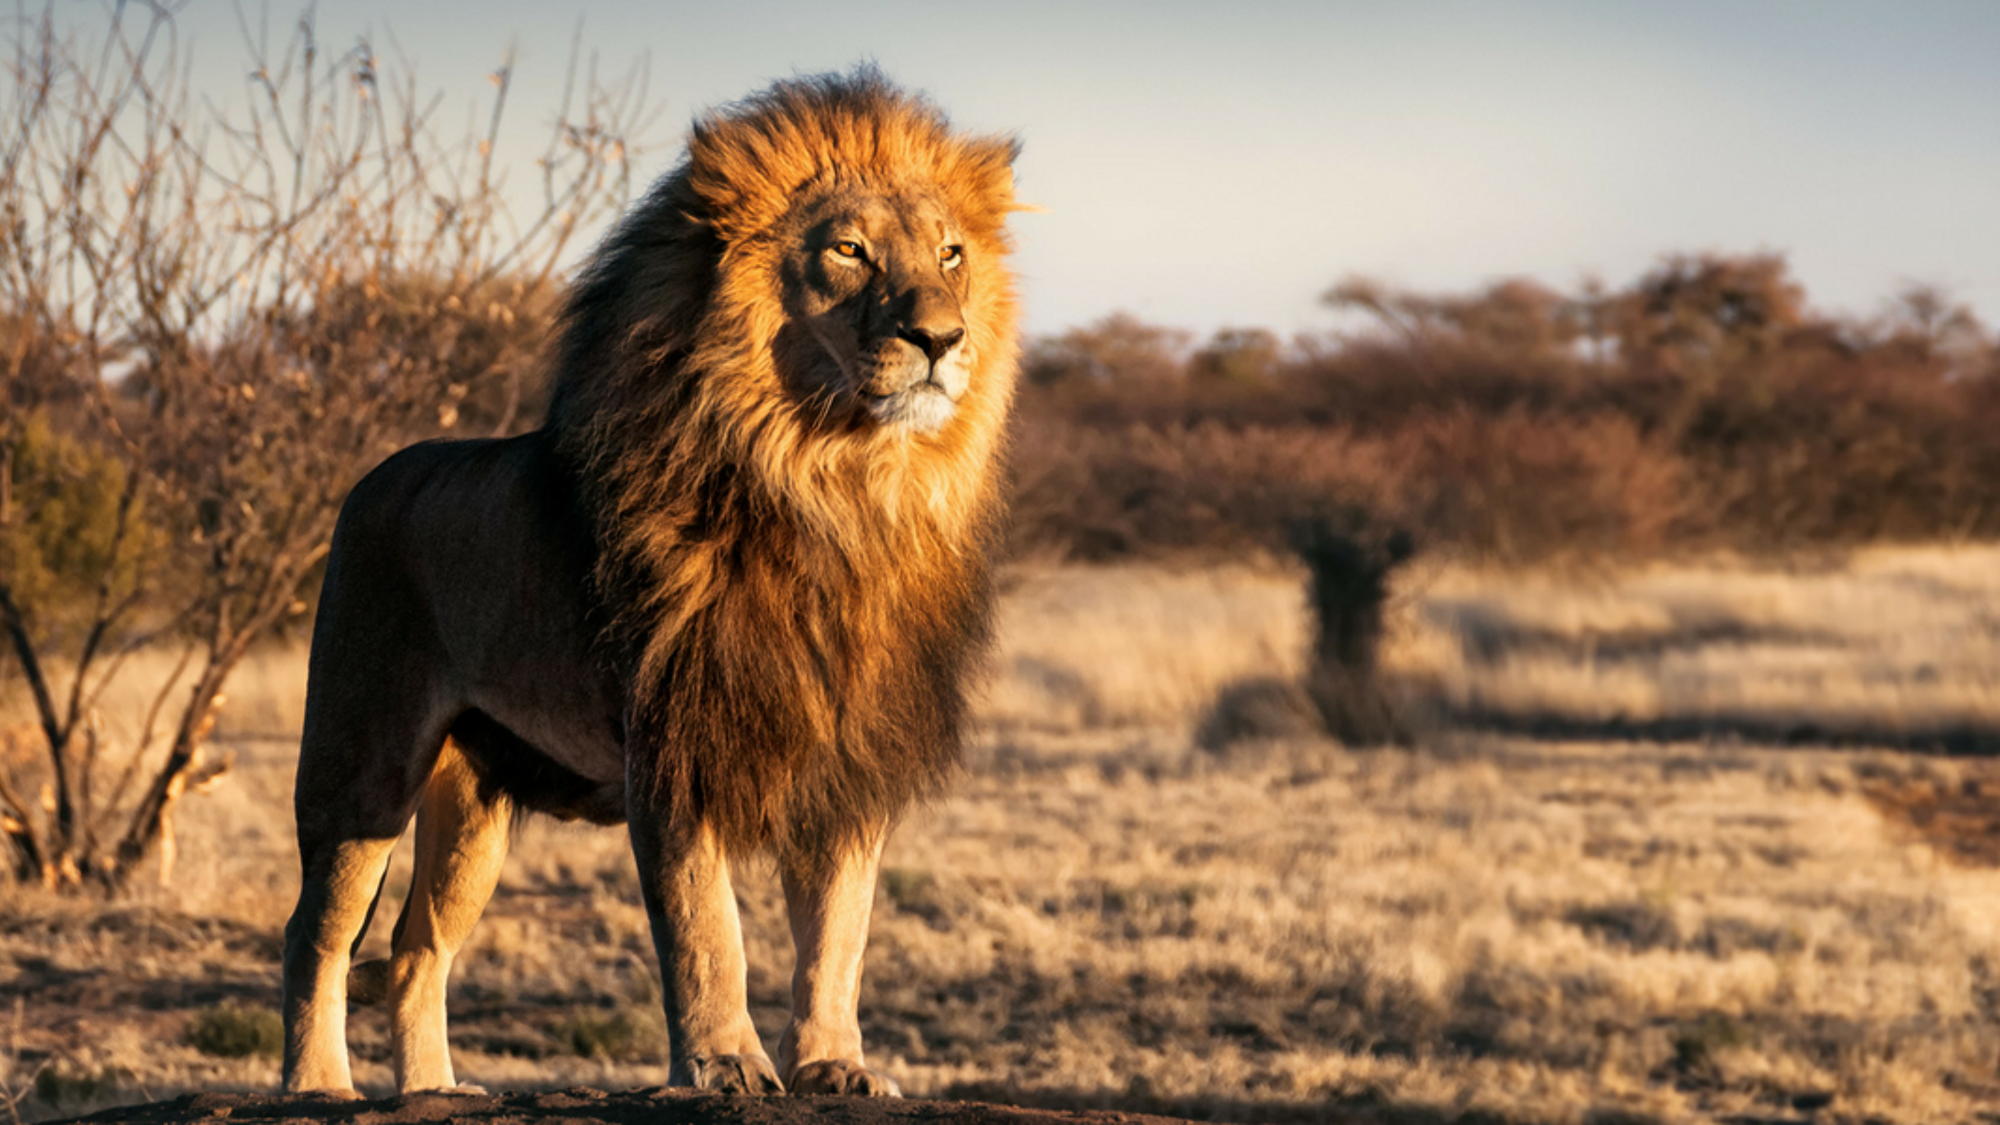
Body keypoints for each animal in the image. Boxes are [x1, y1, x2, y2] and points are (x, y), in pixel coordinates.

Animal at [279, 70, 1023, 1098]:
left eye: (952, 254)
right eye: (849, 250)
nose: (942, 337)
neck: (834, 488)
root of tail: (372, 477)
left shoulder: (848, 756)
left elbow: (839, 932)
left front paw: (835, 1064)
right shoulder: (672, 740)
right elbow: (708, 927)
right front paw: (725, 1063)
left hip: (474, 804)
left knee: (416, 947)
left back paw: (434, 1090)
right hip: (362, 764)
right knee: (315, 932)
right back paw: (317, 1085)